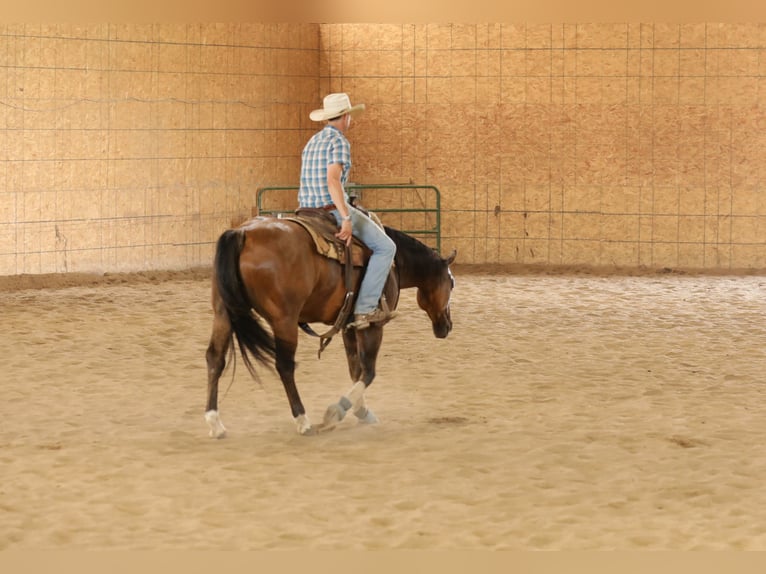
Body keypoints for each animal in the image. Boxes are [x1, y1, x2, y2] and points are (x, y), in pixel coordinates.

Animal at [204, 214, 457, 436]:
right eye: (451, 283)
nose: (447, 326)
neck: (394, 263)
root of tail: (243, 233)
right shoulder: (372, 325)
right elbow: (368, 371)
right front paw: (337, 411)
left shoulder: (349, 325)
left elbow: (355, 369)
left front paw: (362, 411)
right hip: (284, 320)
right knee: (284, 366)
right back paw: (303, 421)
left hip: (223, 313)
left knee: (215, 358)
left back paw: (215, 423)